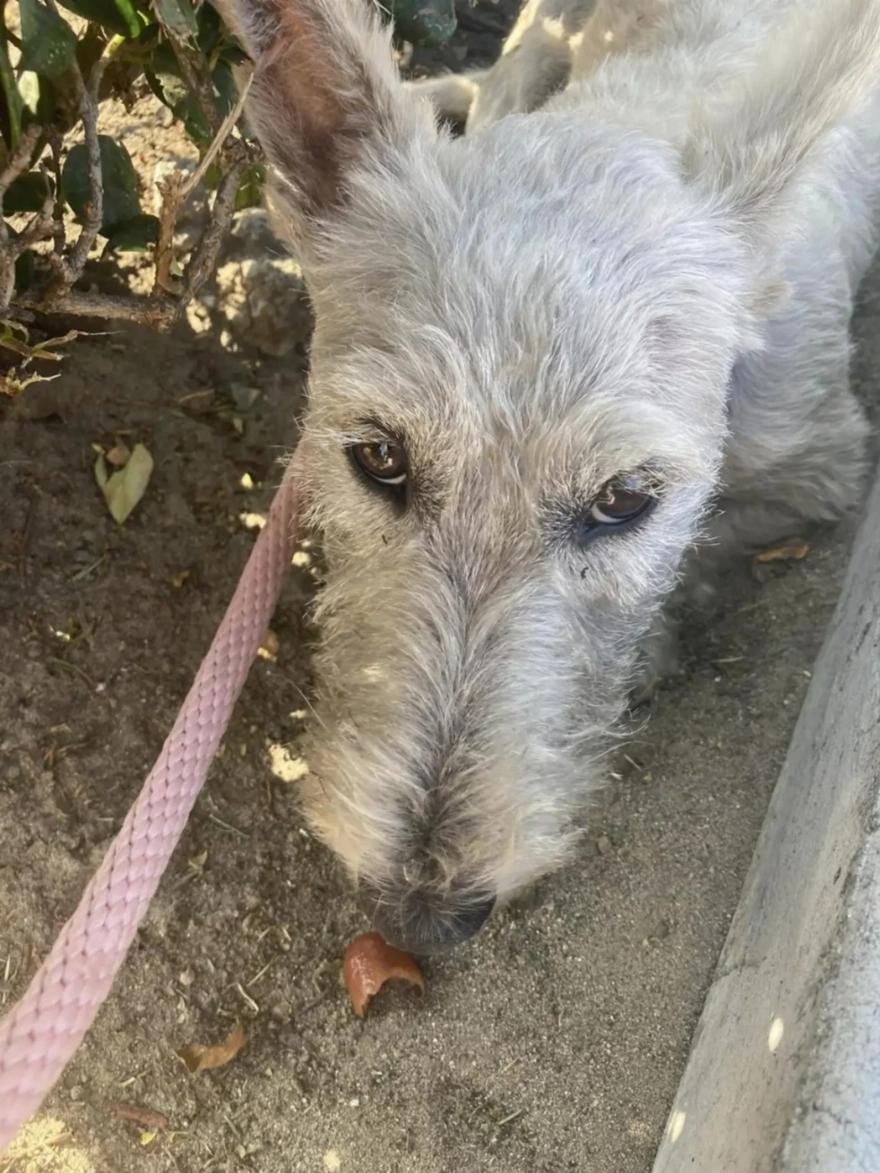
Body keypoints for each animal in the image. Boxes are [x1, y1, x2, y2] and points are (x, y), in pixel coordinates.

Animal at [214, 0, 880, 953]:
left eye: (623, 499)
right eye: (379, 457)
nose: (423, 917)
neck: (620, 123)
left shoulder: (823, 465)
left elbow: (710, 538)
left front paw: (653, 646)